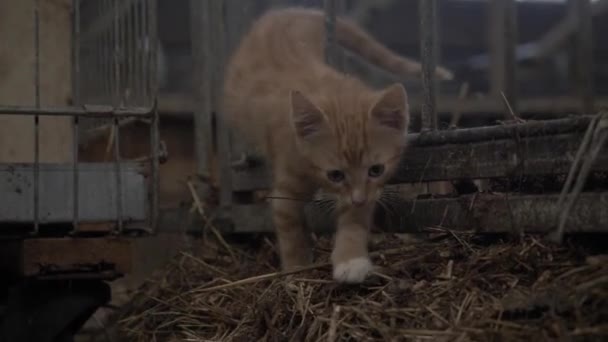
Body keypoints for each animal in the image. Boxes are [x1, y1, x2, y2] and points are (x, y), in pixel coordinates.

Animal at [223, 8, 452, 284]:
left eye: (376, 170)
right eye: (335, 174)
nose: (358, 199)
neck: (337, 96)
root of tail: (295, 11)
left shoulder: (368, 192)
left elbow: (354, 220)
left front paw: (350, 260)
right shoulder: (287, 183)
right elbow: (289, 226)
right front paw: (296, 269)